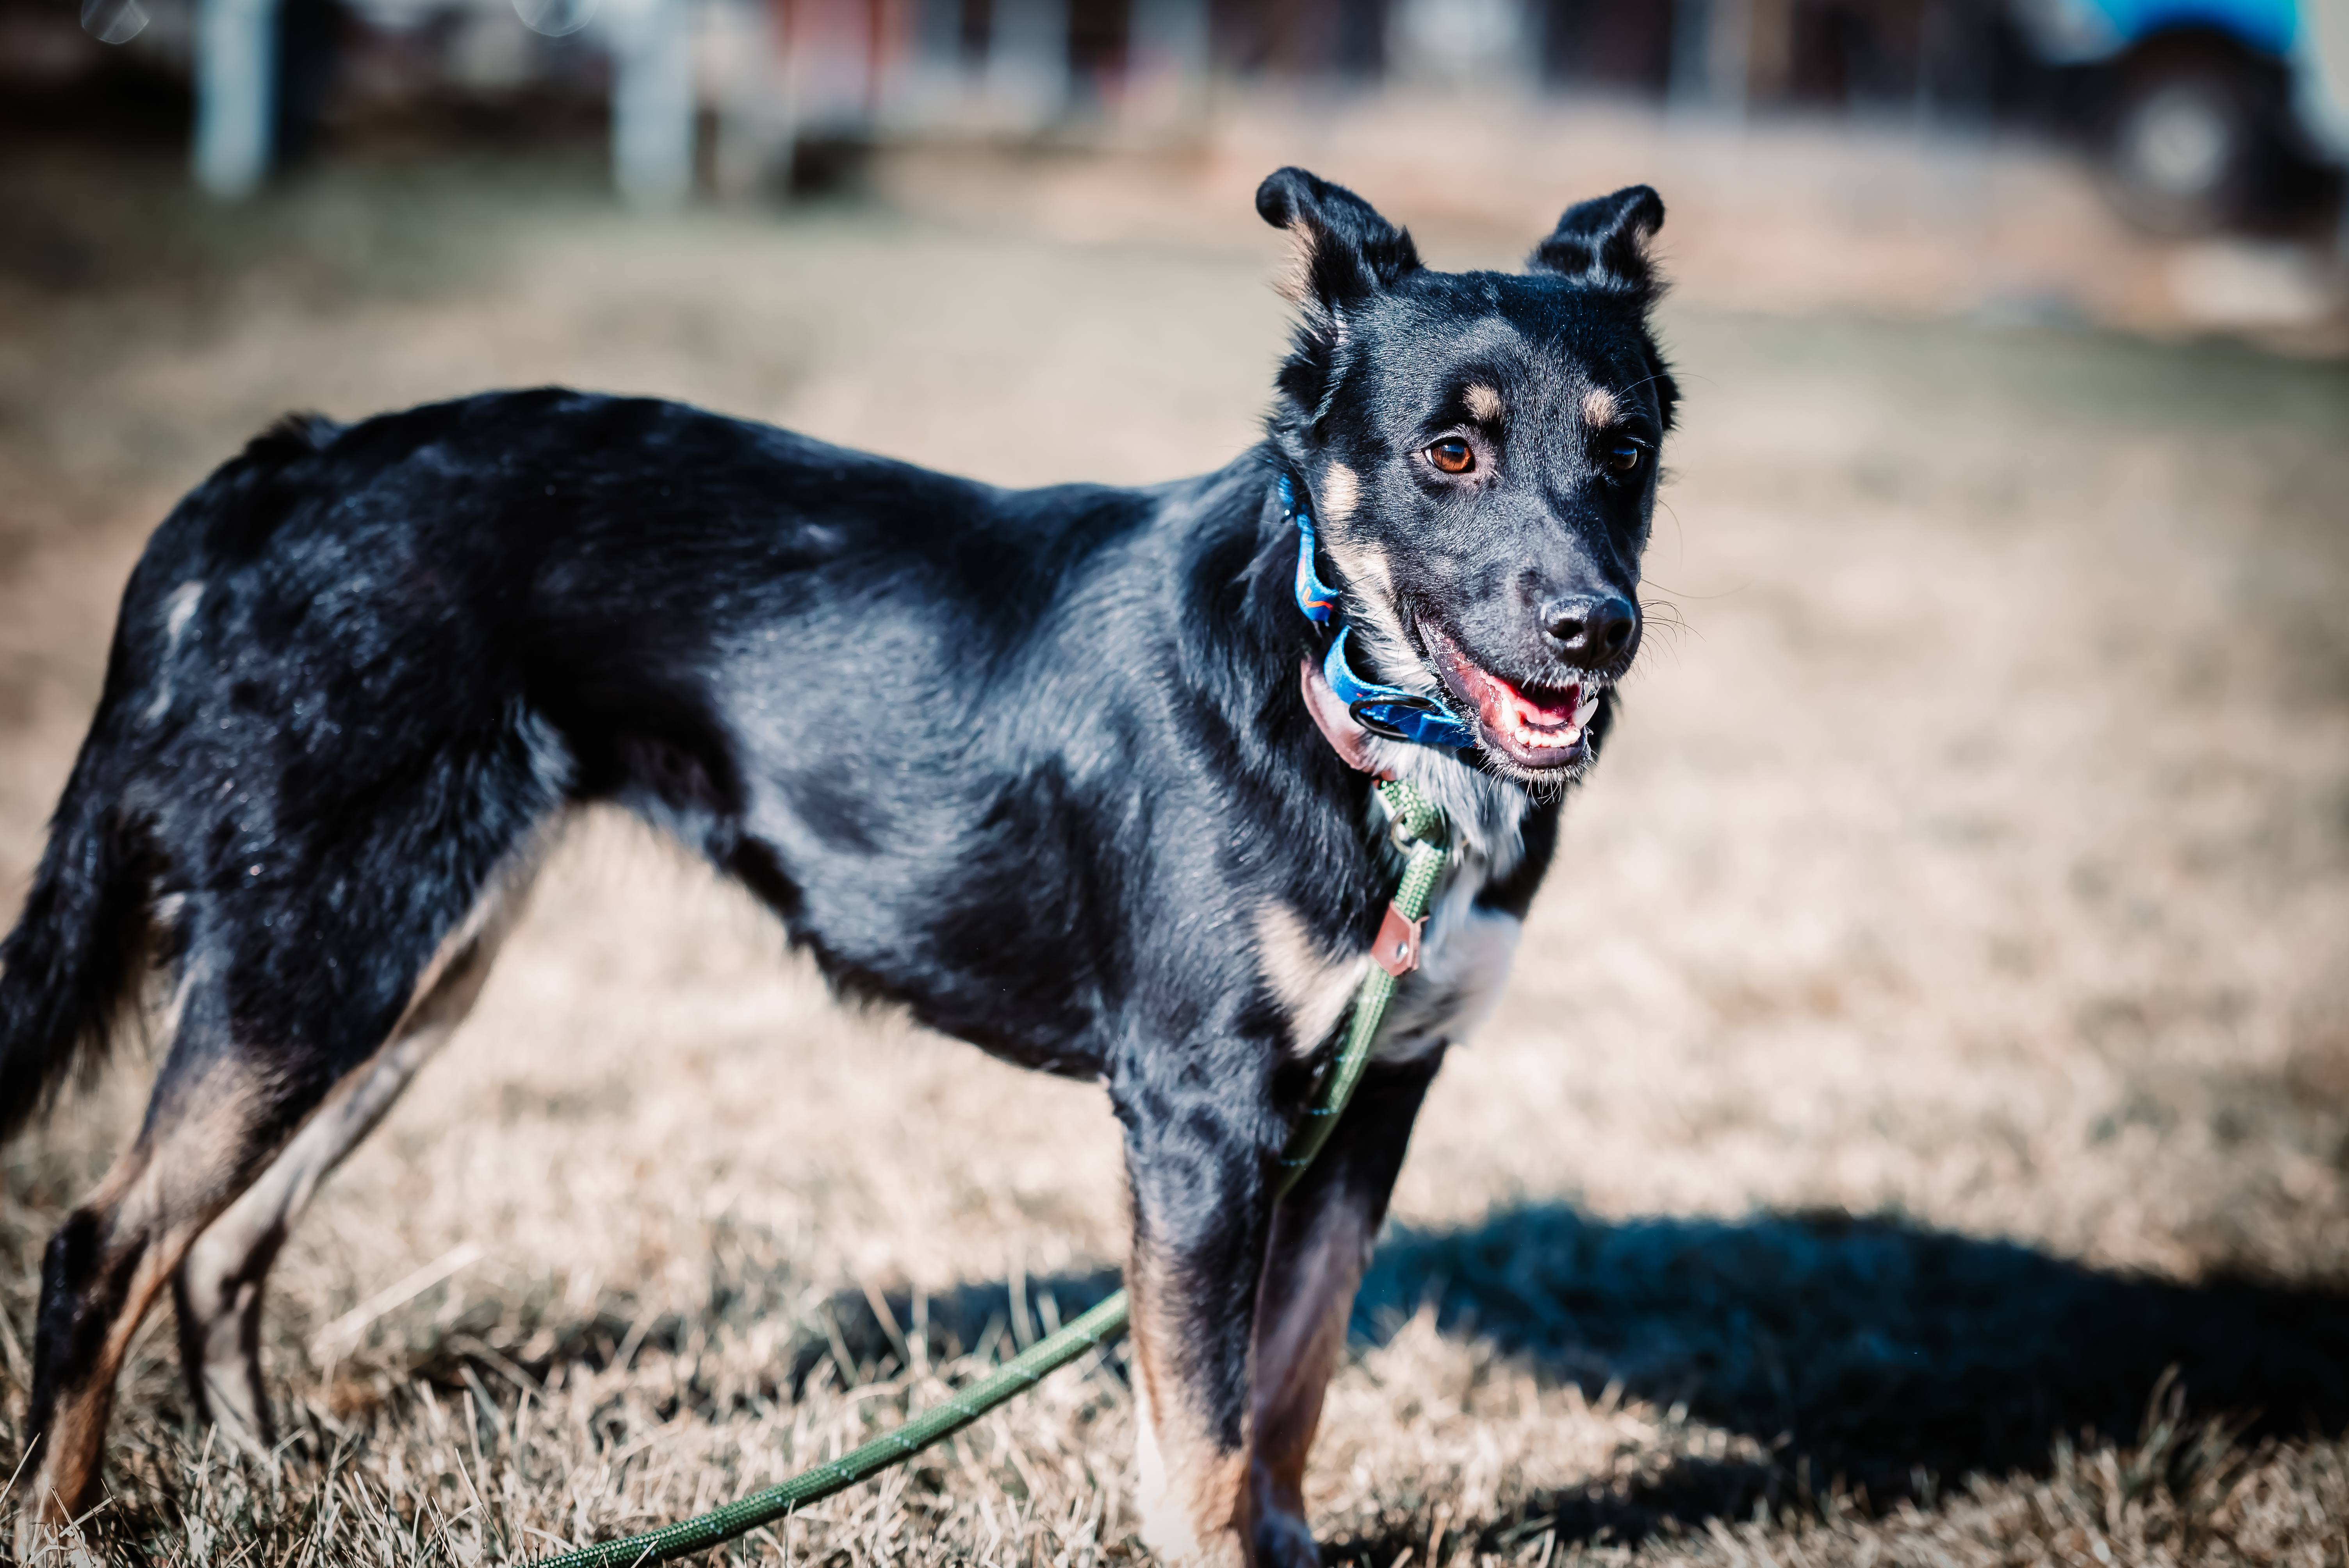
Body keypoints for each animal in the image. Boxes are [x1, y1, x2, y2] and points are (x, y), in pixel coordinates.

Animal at [9, 165, 1682, 1558]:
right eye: (1447, 450)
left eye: (1626, 451)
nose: (1596, 631)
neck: (1340, 699)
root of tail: (293, 467)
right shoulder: (1199, 1122)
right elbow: (1201, 1447)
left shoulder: (1372, 1096)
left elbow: (1287, 1396)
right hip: (322, 956)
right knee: (106, 1240)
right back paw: (65, 1525)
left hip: (409, 968)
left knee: (219, 1249)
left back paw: (262, 1480)